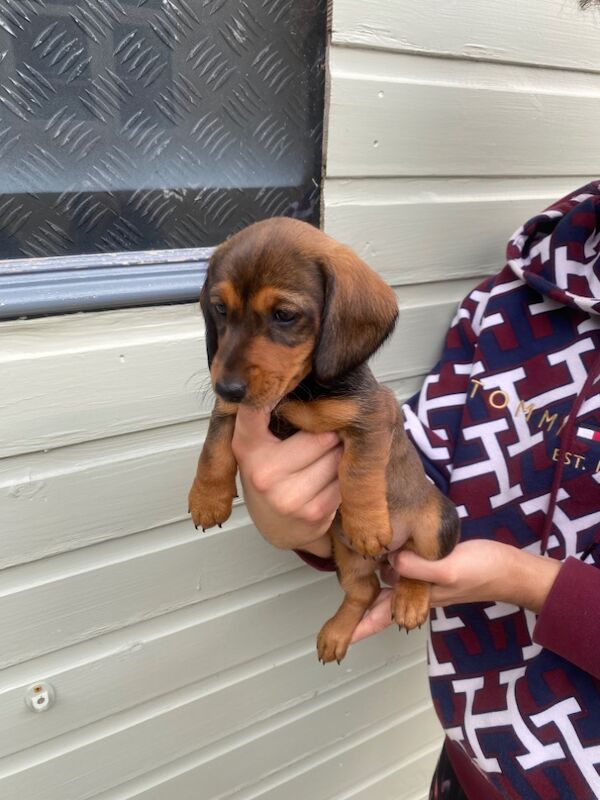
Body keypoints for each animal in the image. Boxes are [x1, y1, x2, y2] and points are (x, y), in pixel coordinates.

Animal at [188, 217, 460, 664]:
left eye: (284, 314)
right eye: (221, 309)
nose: (227, 387)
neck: (298, 392)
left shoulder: (373, 417)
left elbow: (358, 472)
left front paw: (367, 524)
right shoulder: (230, 412)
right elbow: (213, 451)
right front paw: (207, 499)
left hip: (436, 523)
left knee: (418, 570)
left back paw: (409, 601)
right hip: (346, 560)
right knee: (366, 590)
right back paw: (336, 633)